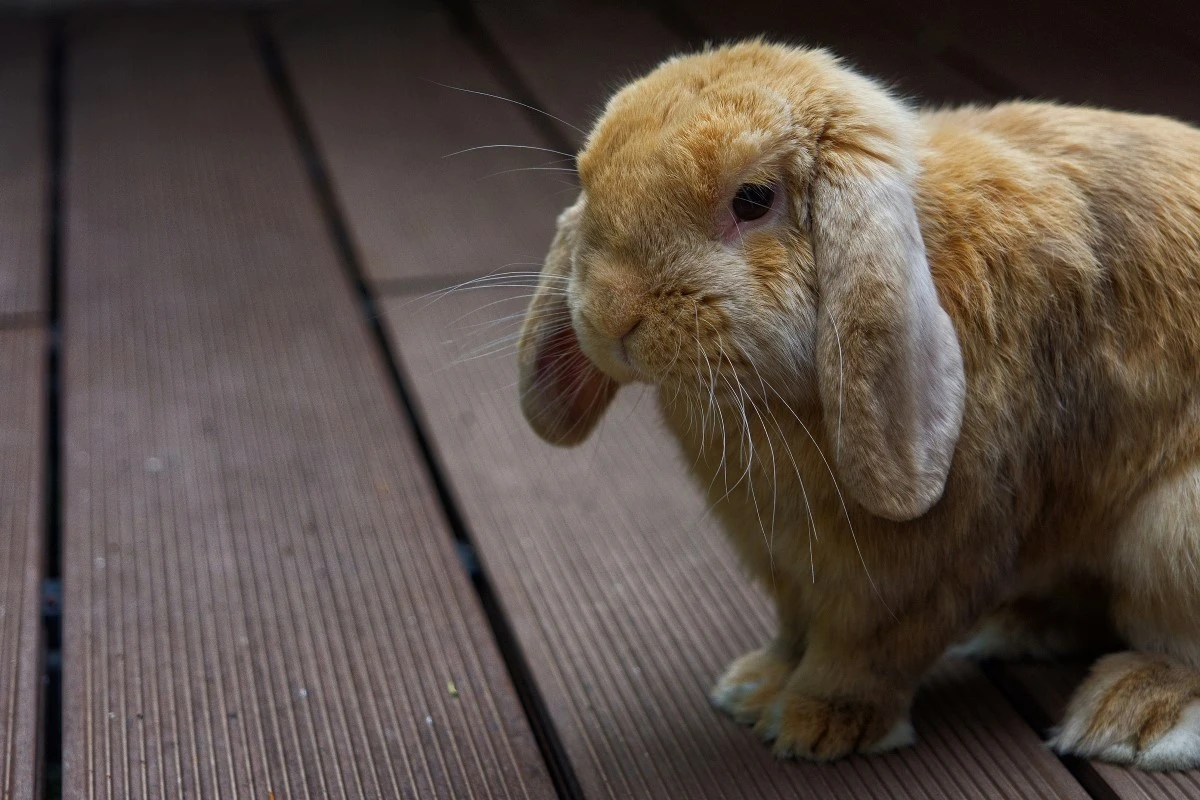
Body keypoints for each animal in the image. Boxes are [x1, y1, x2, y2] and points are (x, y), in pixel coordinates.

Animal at [516, 39, 1200, 769]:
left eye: (753, 199)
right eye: (588, 183)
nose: (610, 315)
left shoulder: (924, 561)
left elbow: (870, 648)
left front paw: (817, 724)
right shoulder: (782, 559)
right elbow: (794, 629)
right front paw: (755, 686)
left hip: (1170, 533)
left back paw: (1132, 714)